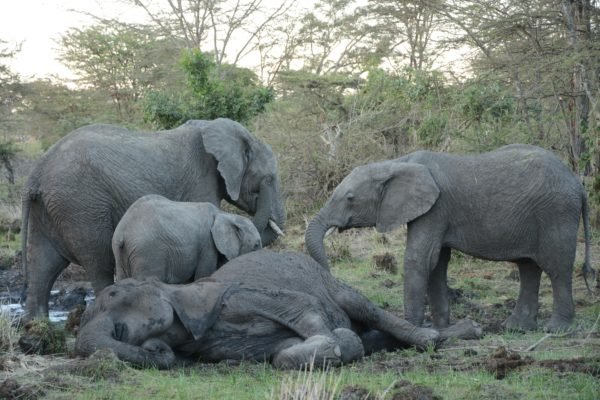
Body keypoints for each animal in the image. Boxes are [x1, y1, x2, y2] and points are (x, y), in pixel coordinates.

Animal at [72, 250, 442, 368]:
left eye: (114, 293)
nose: (154, 348)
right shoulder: (214, 345)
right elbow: (280, 353)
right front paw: (333, 346)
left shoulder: (239, 296)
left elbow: (302, 306)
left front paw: (336, 341)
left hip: (330, 281)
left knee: (363, 307)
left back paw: (431, 339)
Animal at [113, 195, 262, 282]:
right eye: (256, 245)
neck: (225, 214)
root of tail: (122, 231)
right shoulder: (208, 245)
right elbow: (203, 275)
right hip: (148, 251)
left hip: (121, 254)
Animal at [308, 144, 592, 332]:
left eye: (350, 198)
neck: (398, 162)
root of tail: (578, 184)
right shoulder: (437, 212)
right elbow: (437, 264)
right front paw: (441, 327)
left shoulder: (436, 208)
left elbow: (420, 259)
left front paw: (414, 327)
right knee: (528, 268)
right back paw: (516, 328)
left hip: (556, 212)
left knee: (557, 267)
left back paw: (555, 329)